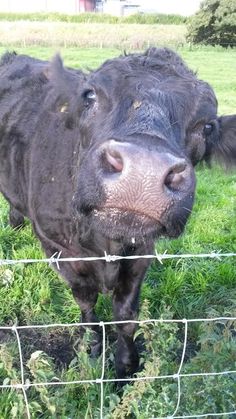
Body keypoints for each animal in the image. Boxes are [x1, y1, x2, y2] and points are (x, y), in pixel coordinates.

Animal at [0, 47, 235, 378]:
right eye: (90, 96)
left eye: (208, 126)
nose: (144, 171)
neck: (105, 244)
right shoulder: (58, 247)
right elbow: (86, 301)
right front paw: (91, 349)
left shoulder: (142, 250)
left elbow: (125, 313)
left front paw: (126, 366)